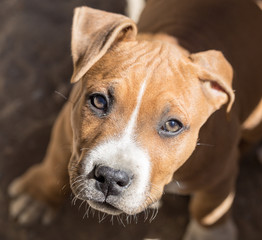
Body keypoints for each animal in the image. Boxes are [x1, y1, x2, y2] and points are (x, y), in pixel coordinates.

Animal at [8, 0, 262, 240]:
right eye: (99, 101)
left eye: (173, 125)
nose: (111, 177)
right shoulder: (68, 121)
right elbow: (56, 158)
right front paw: (36, 195)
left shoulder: (221, 172)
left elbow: (210, 207)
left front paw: (211, 234)